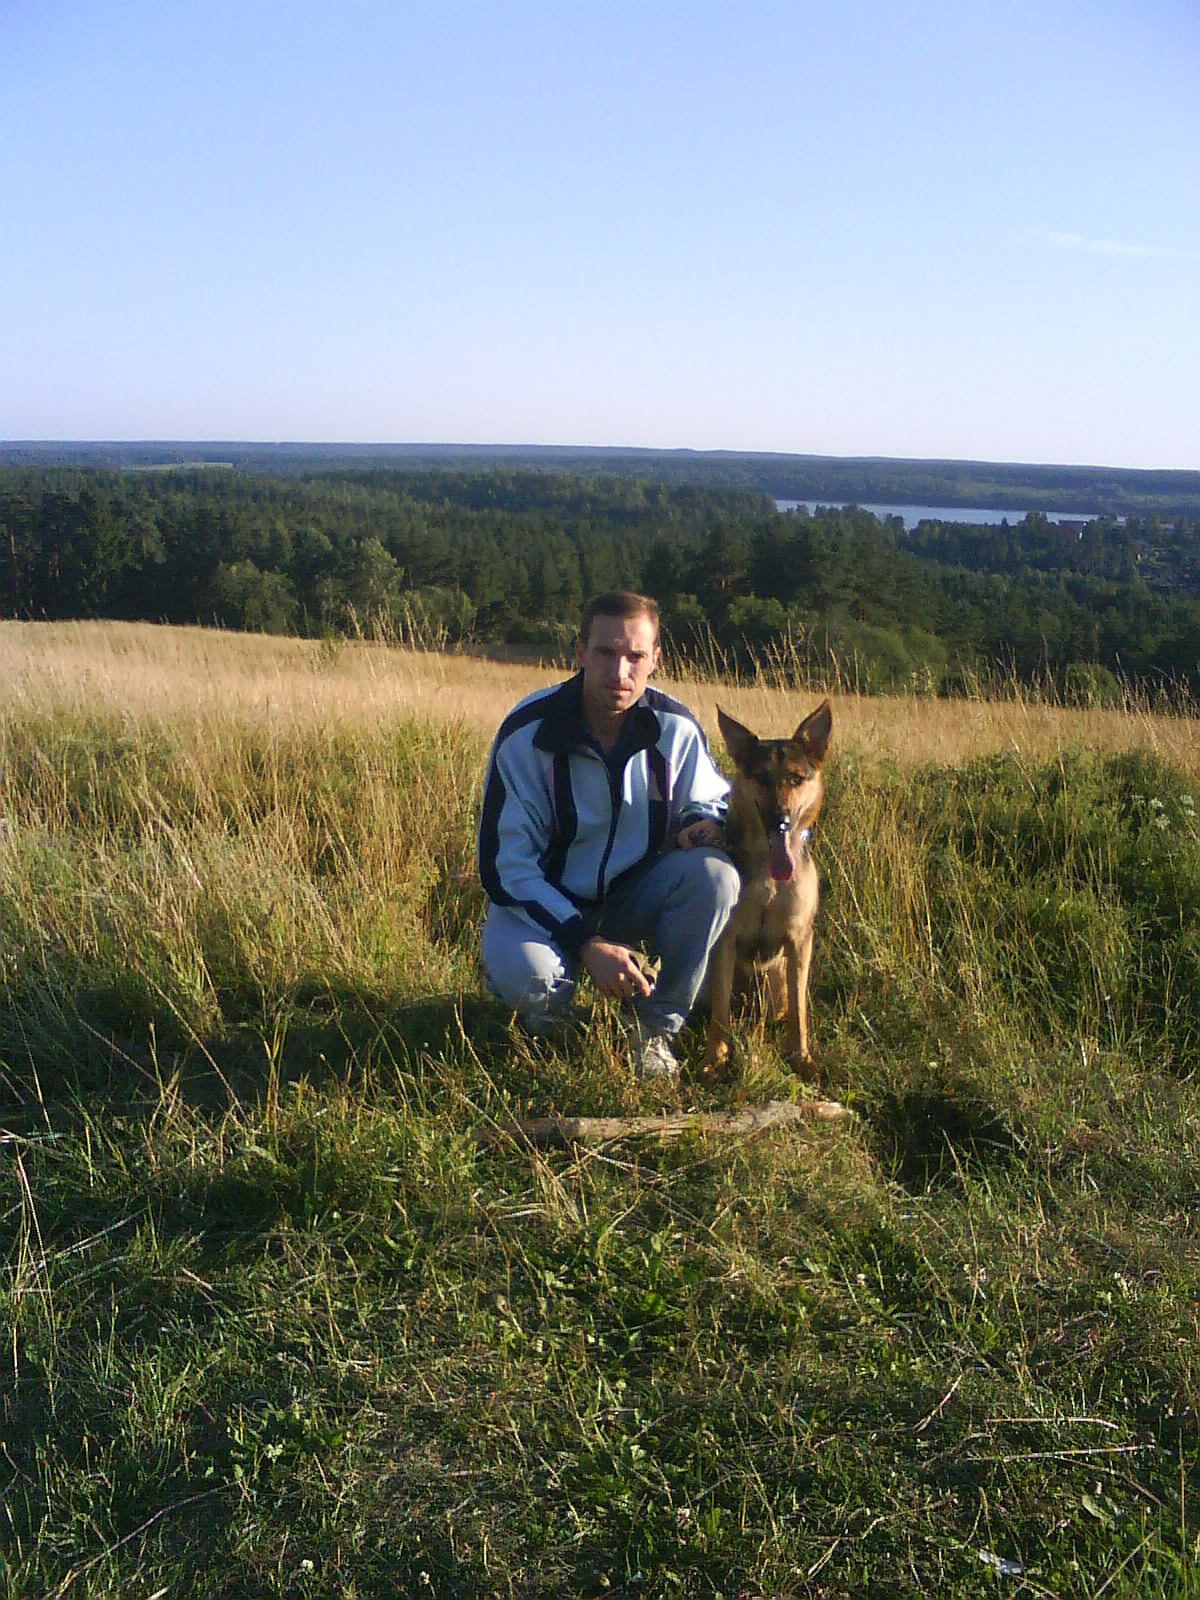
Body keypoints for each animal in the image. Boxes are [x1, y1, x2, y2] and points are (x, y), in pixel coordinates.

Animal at [702, 701, 832, 1080]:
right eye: (760, 777)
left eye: (796, 778)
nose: (781, 819)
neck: (771, 878)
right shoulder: (726, 940)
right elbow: (719, 1013)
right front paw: (715, 1061)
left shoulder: (800, 941)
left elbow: (799, 1013)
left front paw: (801, 1058)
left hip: (775, 983)